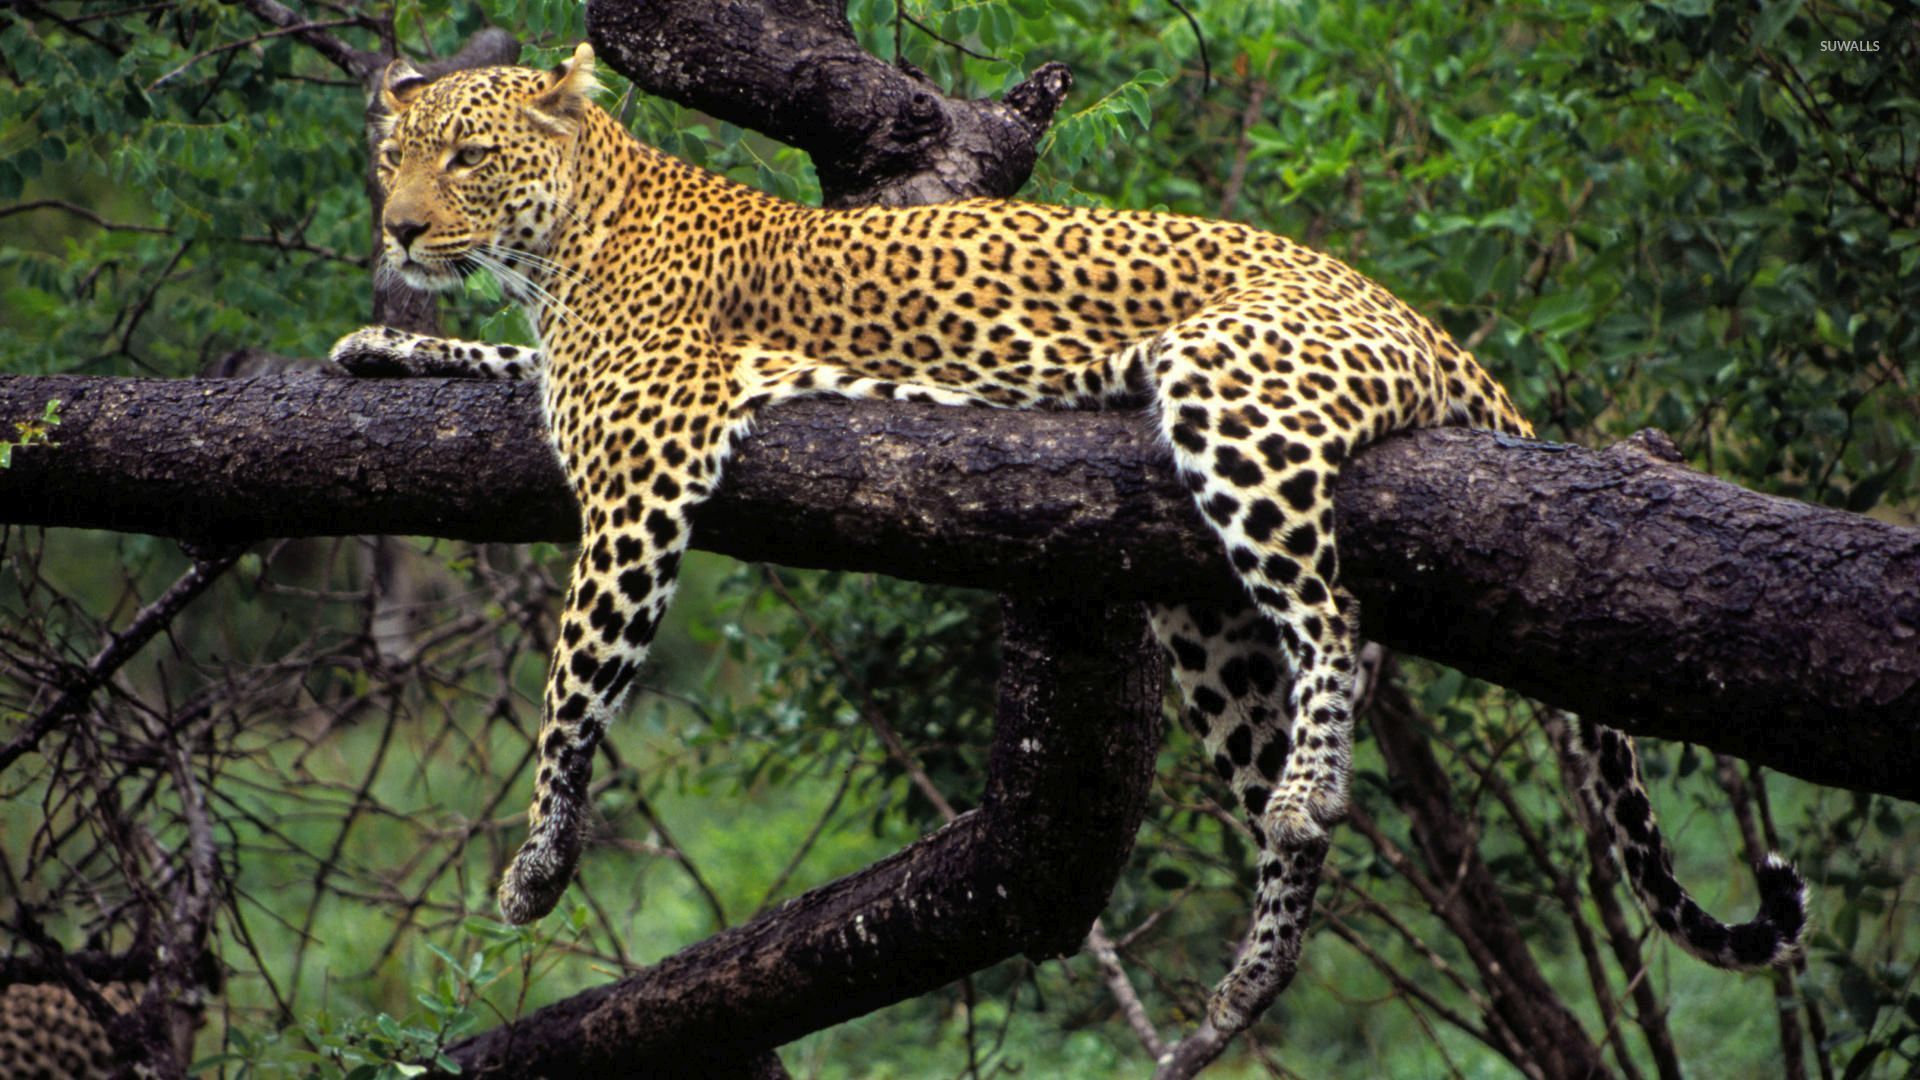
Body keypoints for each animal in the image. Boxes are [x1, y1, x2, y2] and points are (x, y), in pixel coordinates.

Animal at [329, 42, 1807, 1035]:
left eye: (465, 157)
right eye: (391, 159)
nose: (397, 228)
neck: (568, 236)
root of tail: (1412, 312)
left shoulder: (643, 467)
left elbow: (570, 689)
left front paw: (536, 861)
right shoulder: (576, 391)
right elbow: (494, 365)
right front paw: (383, 345)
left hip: (1234, 396)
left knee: (1332, 617)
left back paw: (1308, 791)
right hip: (1203, 613)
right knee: (1278, 735)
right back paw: (1257, 969)